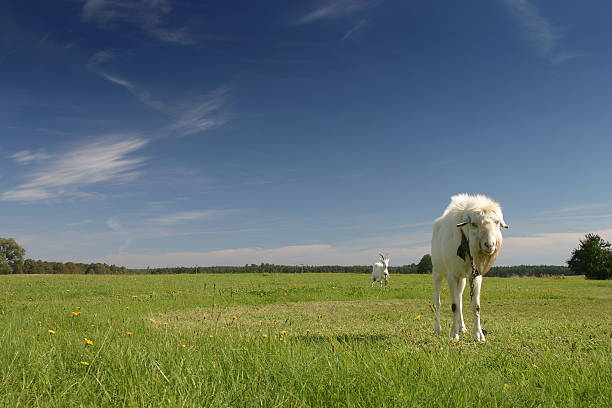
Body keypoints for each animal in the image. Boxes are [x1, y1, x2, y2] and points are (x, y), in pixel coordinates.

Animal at [432, 194, 510, 342]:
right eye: (474, 224)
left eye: (497, 222)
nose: (489, 245)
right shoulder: (451, 275)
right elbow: (454, 306)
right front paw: (453, 335)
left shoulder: (476, 275)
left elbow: (475, 306)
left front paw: (478, 335)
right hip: (437, 272)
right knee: (438, 301)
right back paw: (438, 329)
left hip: (462, 278)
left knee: (460, 299)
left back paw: (461, 327)